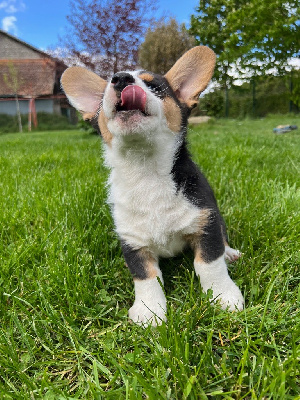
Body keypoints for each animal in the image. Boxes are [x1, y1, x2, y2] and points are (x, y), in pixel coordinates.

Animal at [61, 47, 244, 326]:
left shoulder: (206, 224)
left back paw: (230, 253)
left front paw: (224, 296)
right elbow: (146, 277)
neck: (146, 171)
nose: (121, 79)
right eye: (106, 90)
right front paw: (149, 310)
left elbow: (209, 264)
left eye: (155, 87)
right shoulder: (133, 242)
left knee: (223, 240)